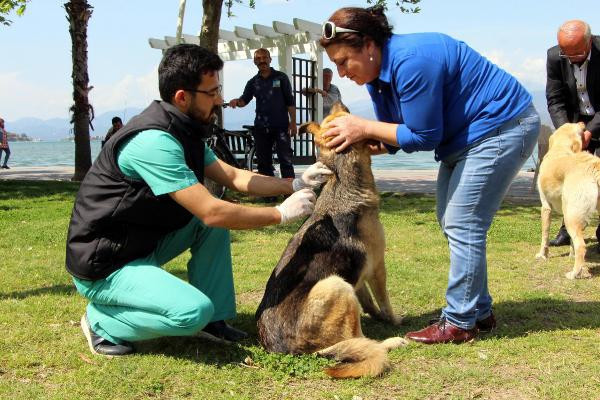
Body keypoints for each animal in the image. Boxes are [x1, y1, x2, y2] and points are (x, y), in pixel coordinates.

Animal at [255, 103, 405, 379]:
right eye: (347, 116)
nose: (335, 102)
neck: (340, 179)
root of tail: (291, 350)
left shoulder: (359, 274)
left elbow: (367, 301)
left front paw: (376, 315)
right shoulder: (378, 267)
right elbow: (383, 300)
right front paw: (393, 320)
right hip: (335, 284)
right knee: (360, 340)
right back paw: (392, 341)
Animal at [535, 122, 600, 279]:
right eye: (575, 124)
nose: (582, 122)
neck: (560, 148)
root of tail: (592, 165)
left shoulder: (546, 207)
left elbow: (544, 235)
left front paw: (542, 255)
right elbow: (571, 241)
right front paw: (571, 255)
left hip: (571, 216)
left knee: (581, 245)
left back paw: (574, 274)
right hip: (573, 214)